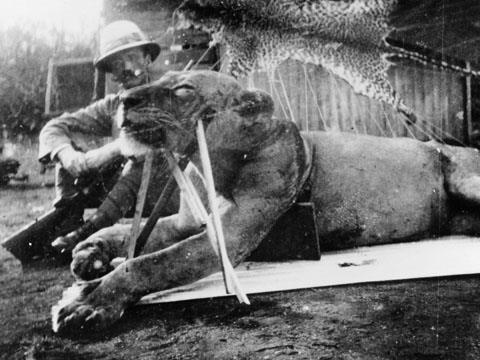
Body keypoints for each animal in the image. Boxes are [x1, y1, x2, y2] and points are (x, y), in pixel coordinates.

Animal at [52, 69, 480, 334]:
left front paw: (87, 302)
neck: (213, 163)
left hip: (465, 180)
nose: (124, 99)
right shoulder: (189, 222)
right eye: (159, 80)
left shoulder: (234, 233)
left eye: (183, 90)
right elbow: (131, 232)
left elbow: (151, 262)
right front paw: (90, 250)